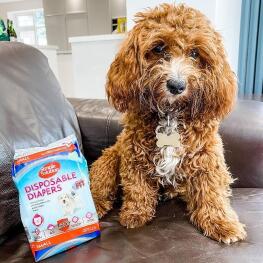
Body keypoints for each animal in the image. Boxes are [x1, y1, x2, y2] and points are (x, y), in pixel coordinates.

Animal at [91, 3, 248, 244]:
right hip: (109, 158)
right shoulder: (132, 153)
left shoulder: (208, 157)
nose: (176, 85)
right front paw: (135, 213)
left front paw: (221, 222)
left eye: (195, 53)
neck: (170, 114)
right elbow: (136, 187)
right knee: (99, 187)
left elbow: (212, 192)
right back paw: (96, 207)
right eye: (158, 48)